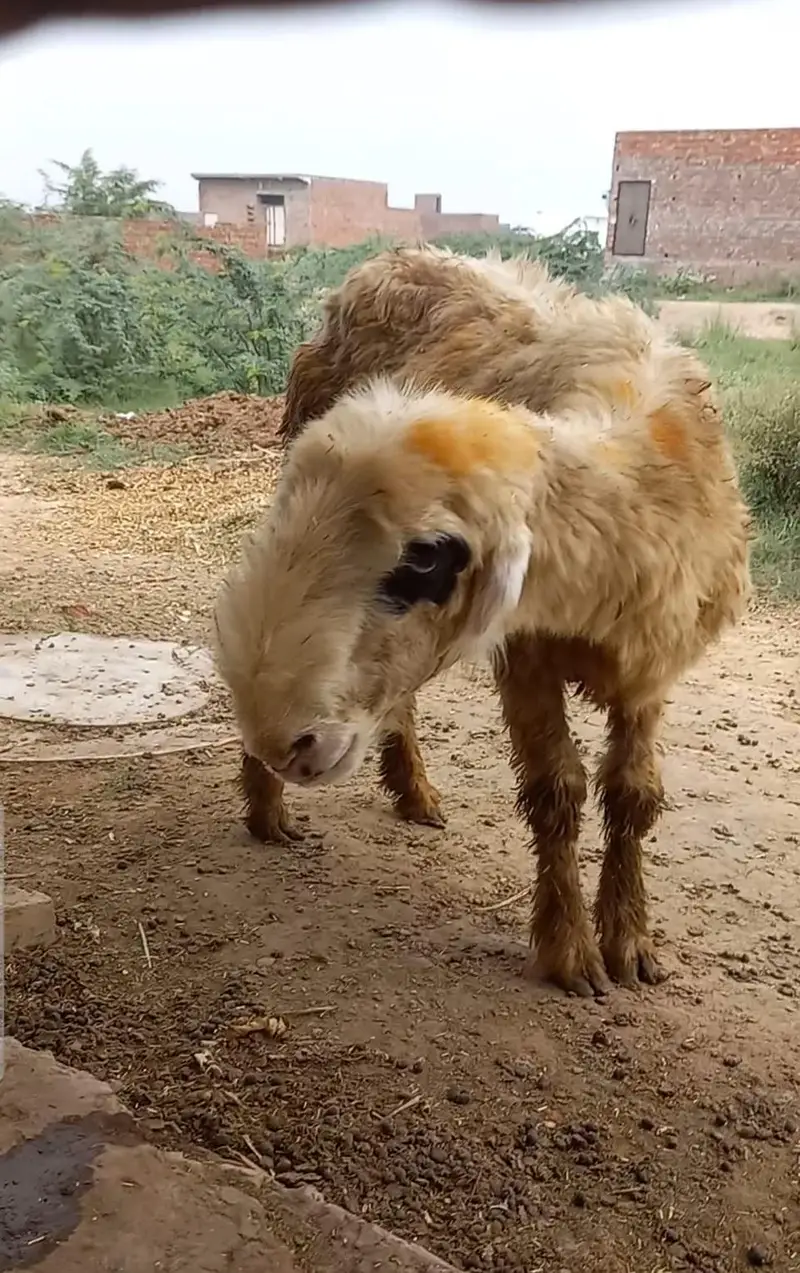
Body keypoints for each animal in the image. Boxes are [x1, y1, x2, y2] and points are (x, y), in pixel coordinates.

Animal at [217, 247, 751, 996]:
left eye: (426, 557)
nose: (285, 740)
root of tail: (389, 259)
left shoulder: (652, 666)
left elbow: (634, 796)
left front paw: (630, 940)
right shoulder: (526, 655)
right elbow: (557, 792)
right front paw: (571, 951)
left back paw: (408, 793)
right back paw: (269, 809)